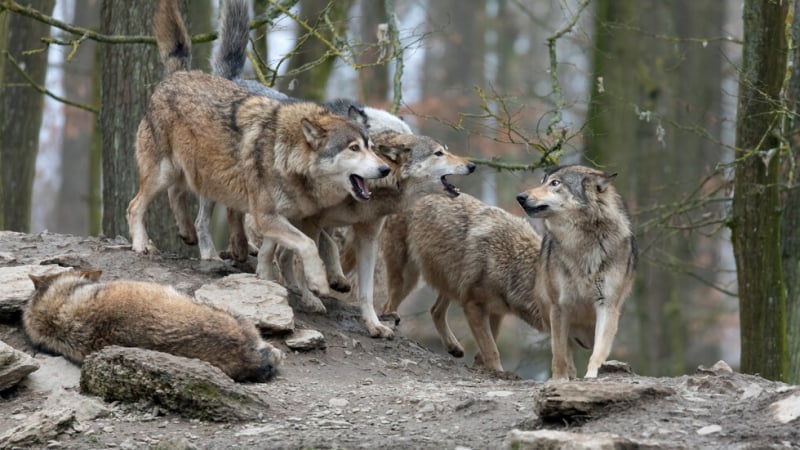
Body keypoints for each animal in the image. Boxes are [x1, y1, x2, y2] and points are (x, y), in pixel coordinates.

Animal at [126, 0, 392, 298]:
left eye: (371, 147)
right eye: (354, 148)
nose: (385, 169)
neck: (287, 157)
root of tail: (179, 74)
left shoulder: (285, 217)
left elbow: (280, 247)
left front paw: (267, 276)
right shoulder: (266, 216)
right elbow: (308, 244)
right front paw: (317, 281)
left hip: (194, 175)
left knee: (179, 196)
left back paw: (192, 235)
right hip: (164, 174)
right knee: (136, 206)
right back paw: (145, 245)